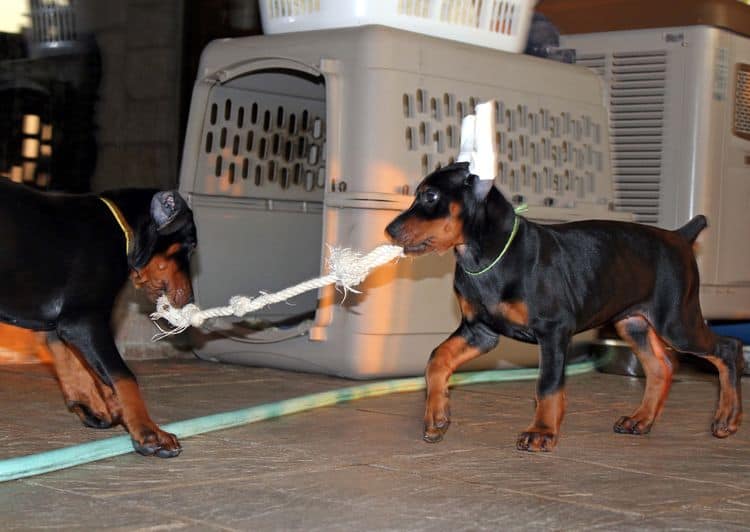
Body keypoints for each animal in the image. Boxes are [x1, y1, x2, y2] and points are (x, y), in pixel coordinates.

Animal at [0, 179, 197, 458]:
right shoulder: (83, 320)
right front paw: (149, 432)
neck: (122, 229)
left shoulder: (62, 324)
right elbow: (123, 375)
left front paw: (97, 406)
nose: (190, 299)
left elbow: (77, 365)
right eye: (189, 246)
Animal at [388, 161, 748, 448]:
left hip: (676, 321)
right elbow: (437, 359)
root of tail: (680, 236)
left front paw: (542, 432)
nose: (389, 230)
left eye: (430, 196)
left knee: (727, 348)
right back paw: (641, 420)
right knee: (662, 367)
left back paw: (727, 418)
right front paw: (437, 416)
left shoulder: (553, 330)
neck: (486, 256)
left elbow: (547, 385)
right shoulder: (480, 332)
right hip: (633, 322)